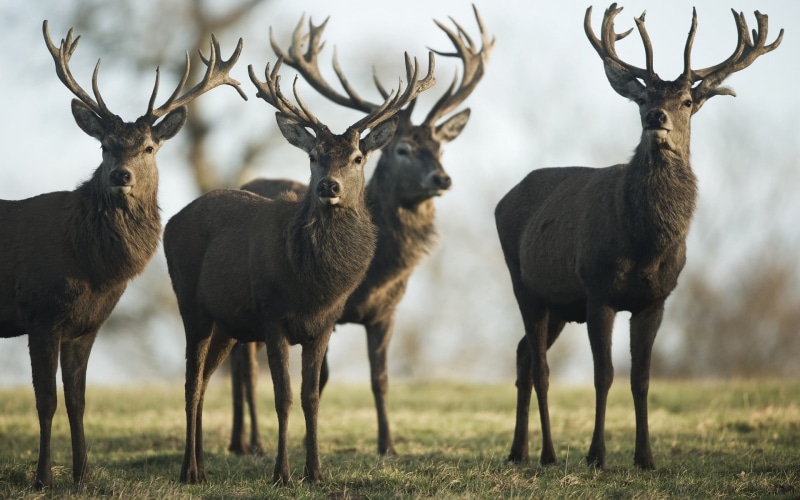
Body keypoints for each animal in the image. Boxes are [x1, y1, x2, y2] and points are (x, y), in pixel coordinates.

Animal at [0, 22, 245, 489]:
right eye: (105, 146)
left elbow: (77, 401)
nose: (120, 175)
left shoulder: (86, 325)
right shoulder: (40, 312)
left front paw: (82, 476)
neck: (92, 267)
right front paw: (42, 479)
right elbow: (46, 401)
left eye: (149, 147)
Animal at [162, 38, 435, 483]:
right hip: (191, 305)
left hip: (227, 324)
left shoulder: (324, 323)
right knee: (191, 383)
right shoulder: (272, 315)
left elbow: (311, 396)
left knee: (203, 381)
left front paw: (316, 471)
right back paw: (190, 470)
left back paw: (202, 465)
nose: (329, 186)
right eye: (313, 156)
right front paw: (282, 473)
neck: (313, 286)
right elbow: (284, 396)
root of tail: (171, 221)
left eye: (358, 157)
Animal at [225, 6, 494, 458]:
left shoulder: (386, 312)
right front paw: (306, 444)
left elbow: (379, 379)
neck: (378, 274)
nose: (442, 178)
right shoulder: (325, 313)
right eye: (402, 149)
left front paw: (387, 445)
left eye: (440, 147)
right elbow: (320, 380)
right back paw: (249, 443)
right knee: (243, 367)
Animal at [495, 4, 782, 471]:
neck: (645, 244)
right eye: (644, 98)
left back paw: (518, 451)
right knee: (540, 366)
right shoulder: (598, 291)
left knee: (522, 355)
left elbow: (642, 379)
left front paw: (645, 456)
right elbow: (604, 375)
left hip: (559, 303)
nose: (656, 119)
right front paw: (596, 455)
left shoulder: (656, 299)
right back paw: (548, 454)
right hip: (524, 283)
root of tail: (503, 200)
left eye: (687, 101)